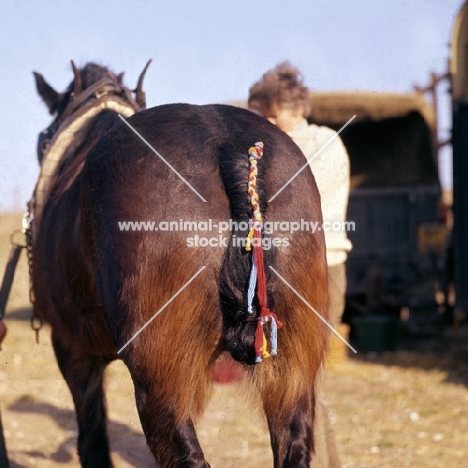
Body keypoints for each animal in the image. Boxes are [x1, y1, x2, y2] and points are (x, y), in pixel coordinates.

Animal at [32, 63, 330, 468]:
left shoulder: (72, 350)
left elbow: (92, 442)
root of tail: (228, 145)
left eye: (44, 136)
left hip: (159, 382)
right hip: (292, 376)